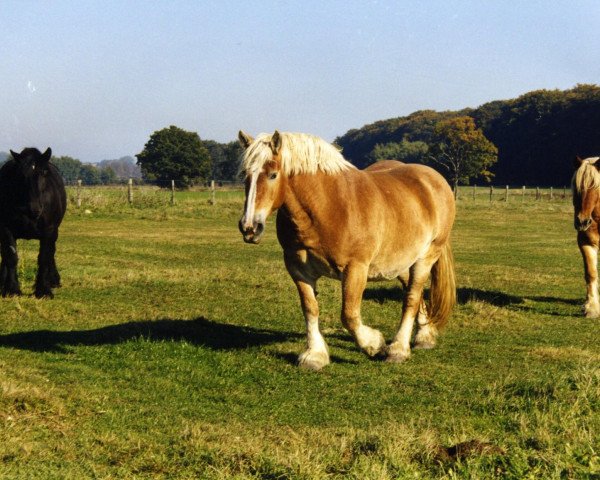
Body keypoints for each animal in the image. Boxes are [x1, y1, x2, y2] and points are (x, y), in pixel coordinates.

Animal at [0, 148, 67, 298]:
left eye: (44, 172)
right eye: (20, 174)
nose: (34, 208)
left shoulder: (49, 231)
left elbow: (44, 257)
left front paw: (43, 290)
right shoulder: (6, 229)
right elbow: (11, 257)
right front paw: (12, 289)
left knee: (51, 253)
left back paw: (53, 280)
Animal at [237, 129, 458, 370]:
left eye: (273, 175)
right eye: (245, 175)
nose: (249, 227)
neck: (328, 207)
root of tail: (434, 179)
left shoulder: (355, 269)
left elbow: (349, 315)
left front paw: (374, 344)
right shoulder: (298, 269)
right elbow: (310, 308)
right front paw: (314, 355)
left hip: (426, 257)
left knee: (411, 297)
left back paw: (398, 349)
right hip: (399, 262)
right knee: (413, 294)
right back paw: (424, 336)